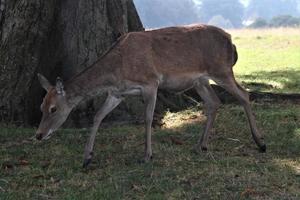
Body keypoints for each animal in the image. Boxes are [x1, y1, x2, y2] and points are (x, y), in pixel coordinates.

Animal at [36, 24, 266, 168]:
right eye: (41, 107)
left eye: (53, 109)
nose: (39, 135)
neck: (117, 69)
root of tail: (231, 41)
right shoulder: (117, 93)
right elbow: (98, 116)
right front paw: (87, 158)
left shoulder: (150, 83)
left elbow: (148, 118)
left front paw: (147, 155)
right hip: (200, 80)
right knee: (214, 102)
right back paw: (201, 145)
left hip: (221, 69)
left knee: (244, 94)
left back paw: (260, 142)